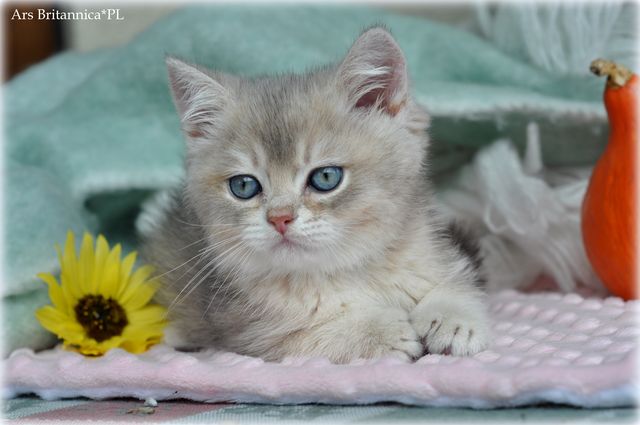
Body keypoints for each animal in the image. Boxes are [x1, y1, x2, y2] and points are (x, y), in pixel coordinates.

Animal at [141, 27, 490, 363]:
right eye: (244, 186)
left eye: (325, 177)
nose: (279, 218)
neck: (349, 268)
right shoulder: (250, 331)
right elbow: (310, 335)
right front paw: (377, 332)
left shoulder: (432, 249)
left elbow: (455, 279)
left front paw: (453, 316)